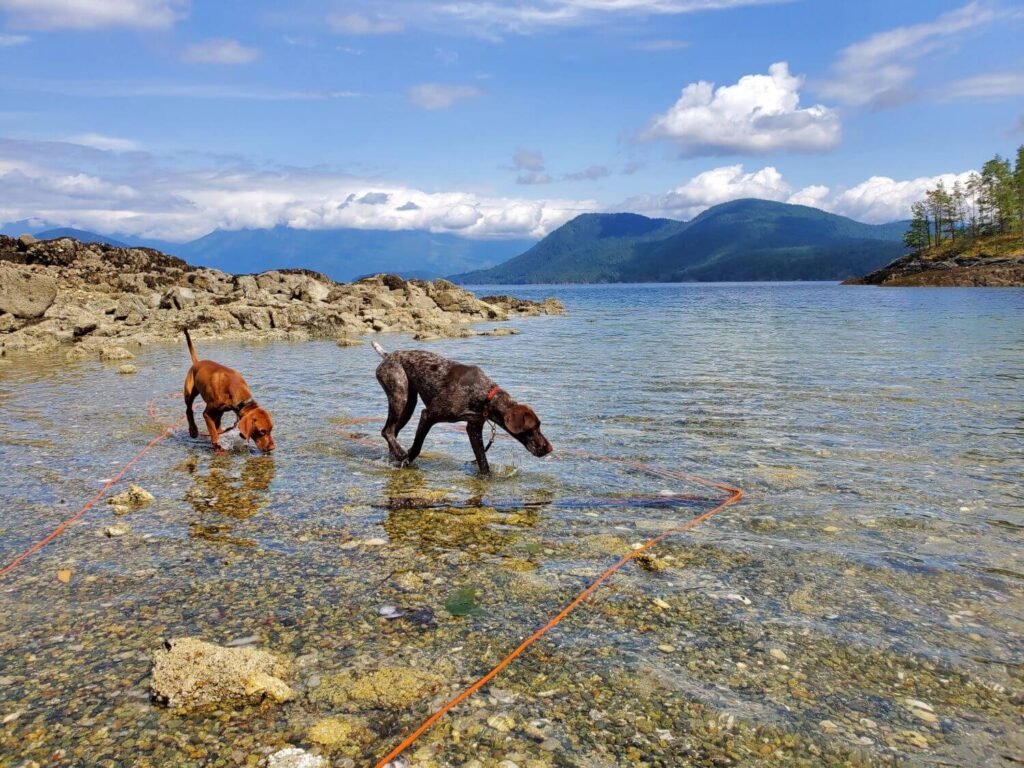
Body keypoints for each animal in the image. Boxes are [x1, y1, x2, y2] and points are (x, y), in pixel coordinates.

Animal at [372, 342, 552, 475]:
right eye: (533, 428)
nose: (549, 449)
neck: (485, 395)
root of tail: (388, 355)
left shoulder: (474, 429)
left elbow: (483, 462)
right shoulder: (428, 415)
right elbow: (417, 447)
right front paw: (406, 459)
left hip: (408, 405)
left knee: (392, 432)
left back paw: (394, 455)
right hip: (399, 396)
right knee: (387, 431)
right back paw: (399, 454)